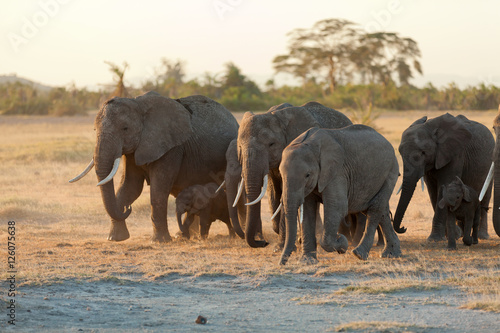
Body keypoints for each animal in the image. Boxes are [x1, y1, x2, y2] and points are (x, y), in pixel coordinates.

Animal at [278, 124, 402, 264]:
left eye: (307, 175)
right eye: (281, 174)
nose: (281, 264)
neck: (309, 143)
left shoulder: (337, 172)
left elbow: (336, 208)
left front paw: (342, 243)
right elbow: (308, 211)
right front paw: (307, 261)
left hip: (391, 171)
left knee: (375, 210)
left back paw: (359, 254)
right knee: (381, 211)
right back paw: (392, 254)